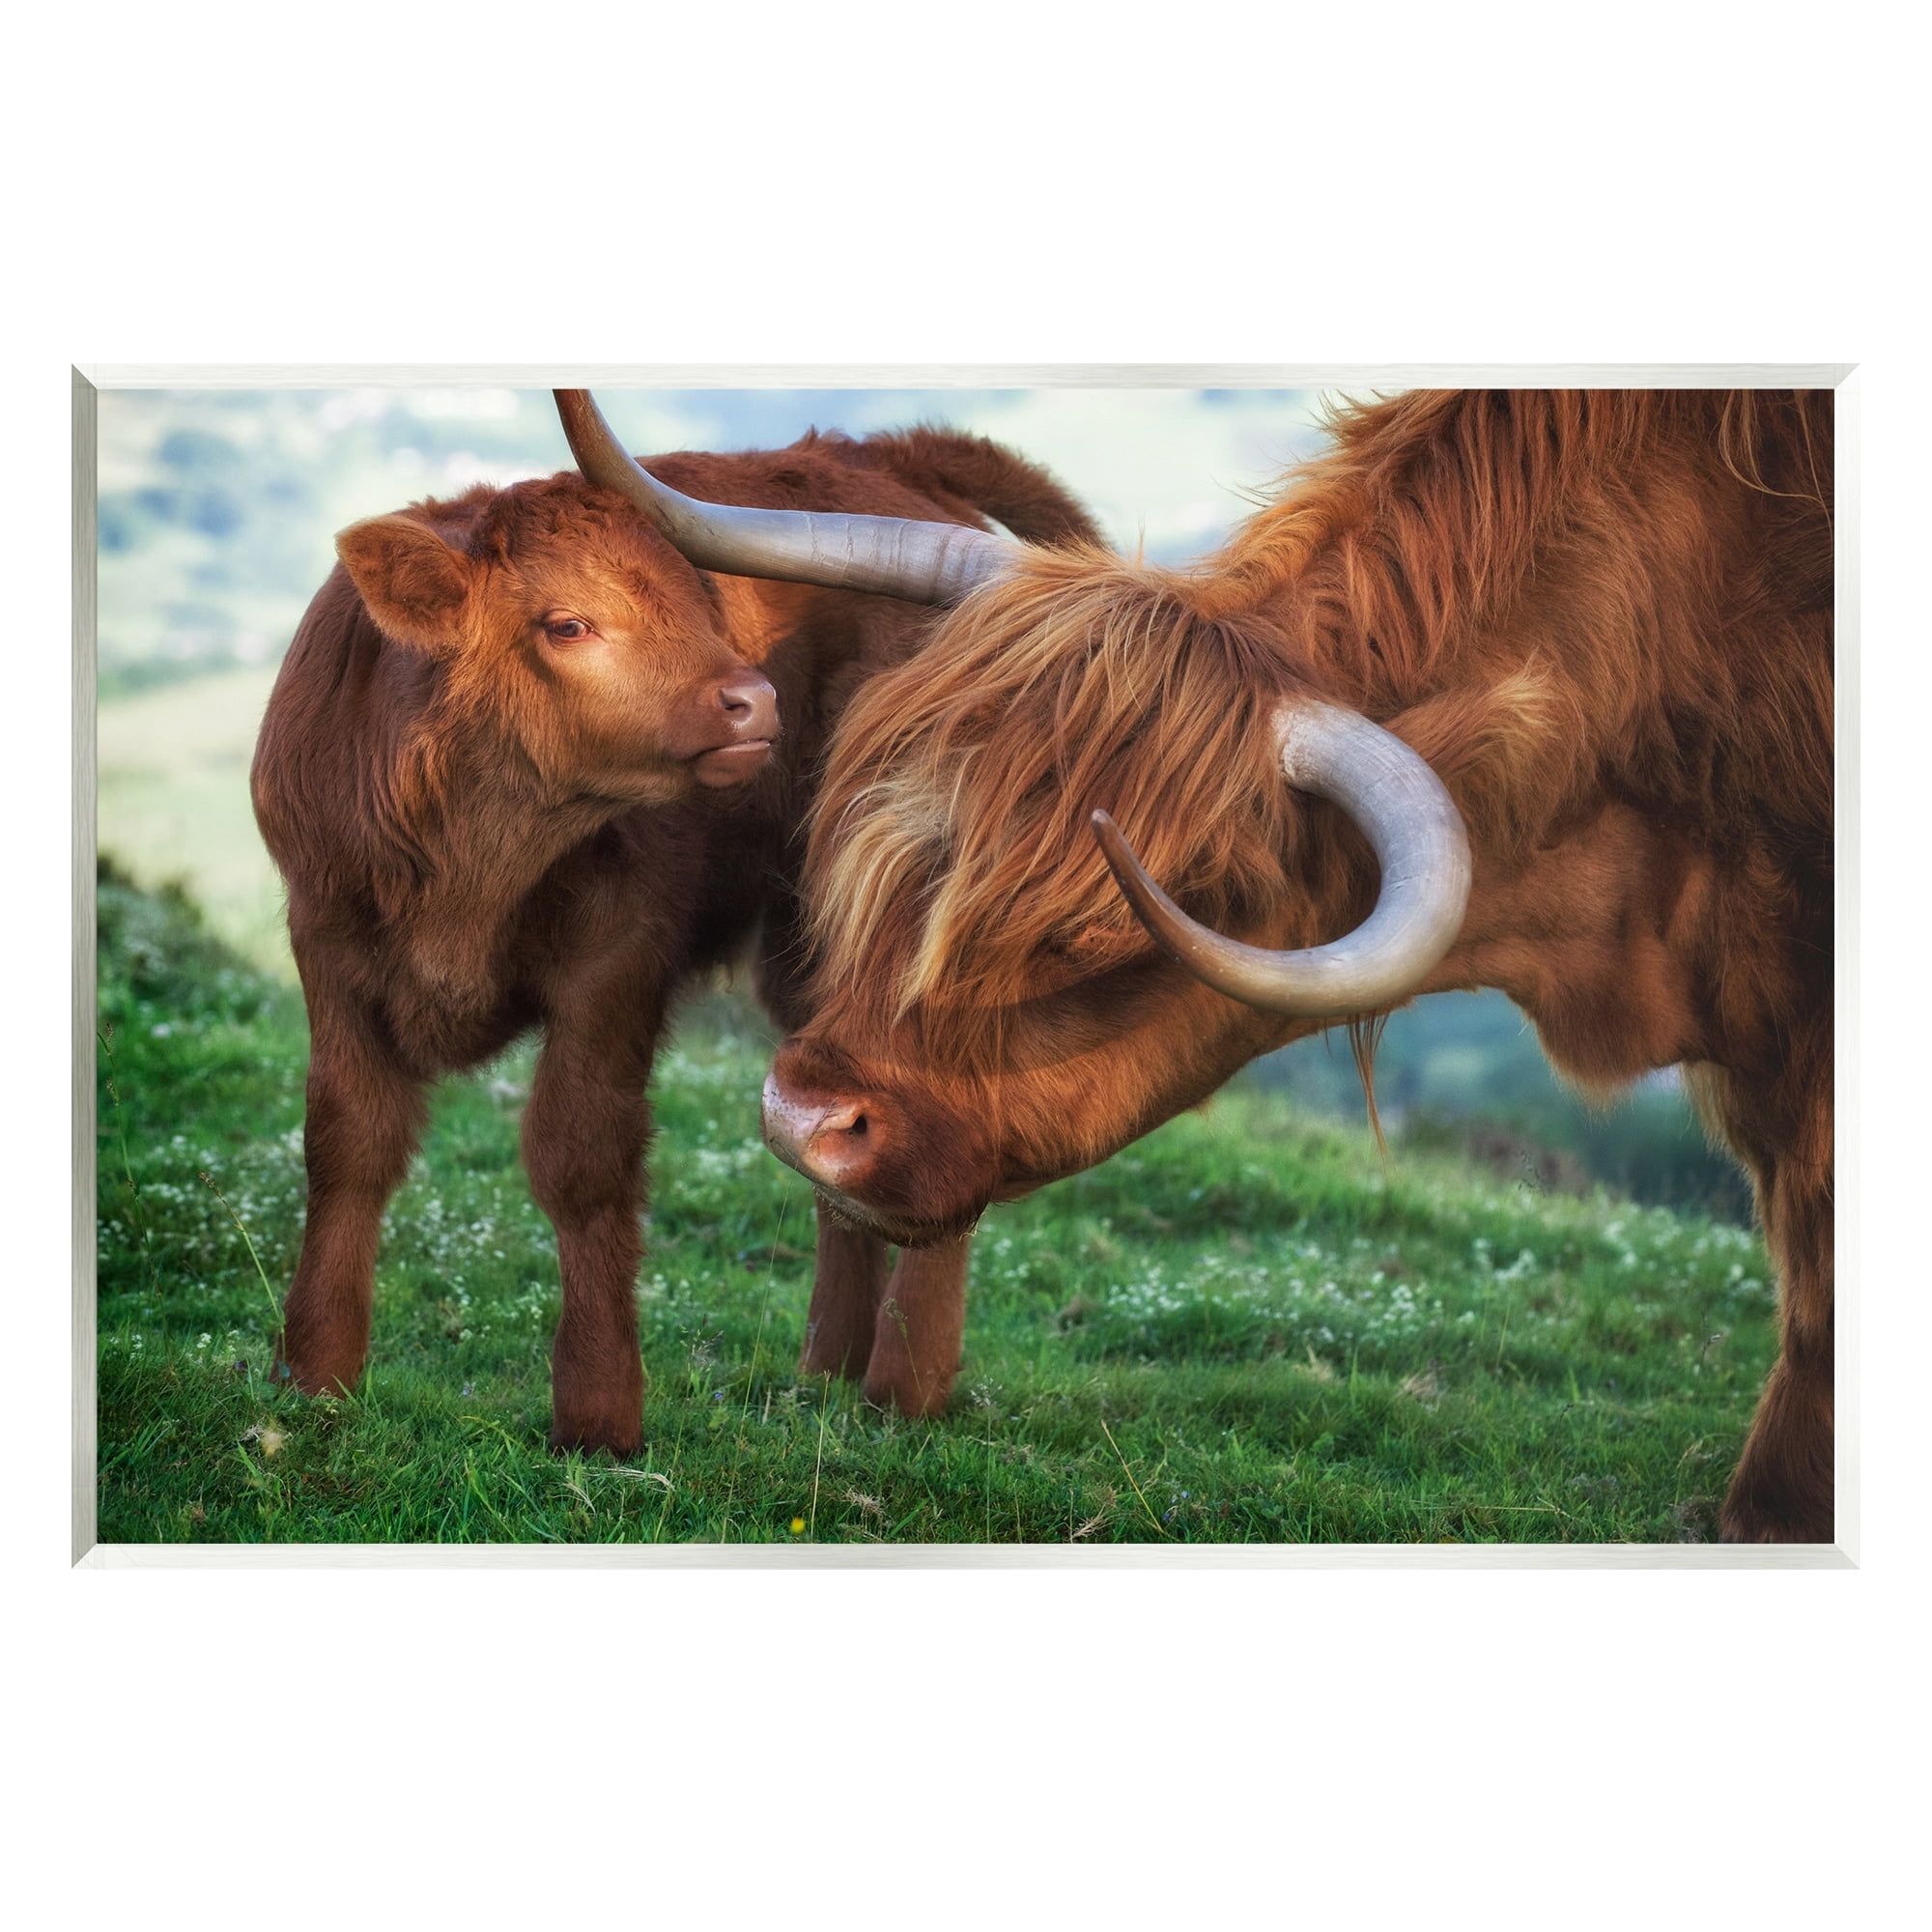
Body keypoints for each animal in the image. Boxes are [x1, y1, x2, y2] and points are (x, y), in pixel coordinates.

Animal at [249, 391, 1099, 1457]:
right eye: (566, 623)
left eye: (702, 605)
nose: (754, 699)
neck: (468, 860)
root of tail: (883, 457)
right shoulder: (325, 940)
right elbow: (346, 1143)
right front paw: (314, 1377)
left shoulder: (617, 958)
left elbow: (582, 1159)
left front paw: (599, 1414)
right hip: (803, 942)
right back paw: (827, 1369)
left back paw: (905, 1385)